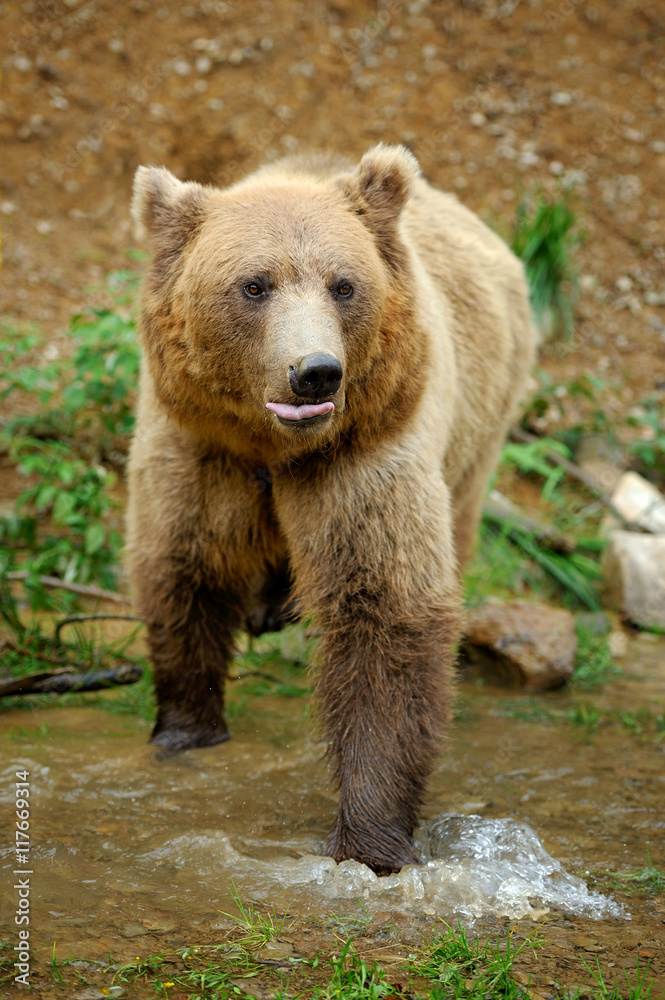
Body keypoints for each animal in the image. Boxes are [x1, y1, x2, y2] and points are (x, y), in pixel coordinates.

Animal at [128, 145, 536, 872]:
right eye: (254, 285)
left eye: (343, 285)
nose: (314, 371)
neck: (273, 446)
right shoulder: (198, 446)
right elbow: (182, 560)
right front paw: (184, 724)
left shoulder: (366, 448)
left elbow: (385, 608)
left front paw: (368, 837)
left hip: (482, 420)